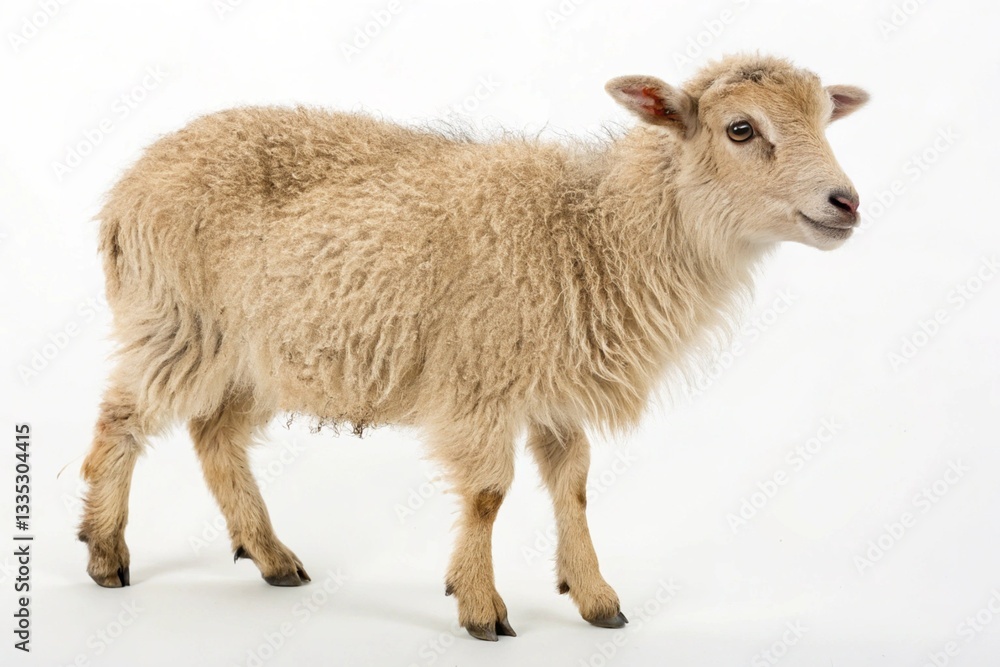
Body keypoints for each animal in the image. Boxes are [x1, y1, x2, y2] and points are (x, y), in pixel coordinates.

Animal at [79, 53, 868, 641]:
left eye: (825, 119)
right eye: (741, 128)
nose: (846, 203)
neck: (591, 231)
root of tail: (126, 187)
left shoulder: (552, 384)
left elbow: (573, 484)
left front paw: (595, 596)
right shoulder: (479, 379)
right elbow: (489, 494)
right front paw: (481, 606)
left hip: (257, 353)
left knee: (214, 435)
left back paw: (271, 556)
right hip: (177, 322)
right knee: (121, 420)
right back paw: (106, 552)